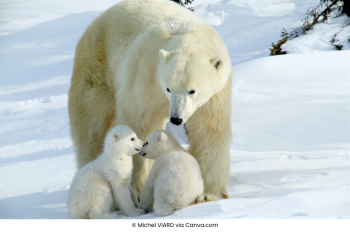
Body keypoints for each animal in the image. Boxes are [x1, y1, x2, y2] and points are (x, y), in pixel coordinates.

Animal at [68, 0, 232, 201]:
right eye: (169, 88)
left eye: (191, 90)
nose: (176, 119)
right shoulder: (147, 75)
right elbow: (139, 122)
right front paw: (137, 189)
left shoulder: (215, 95)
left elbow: (208, 130)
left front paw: (207, 193)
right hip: (97, 64)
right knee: (92, 125)